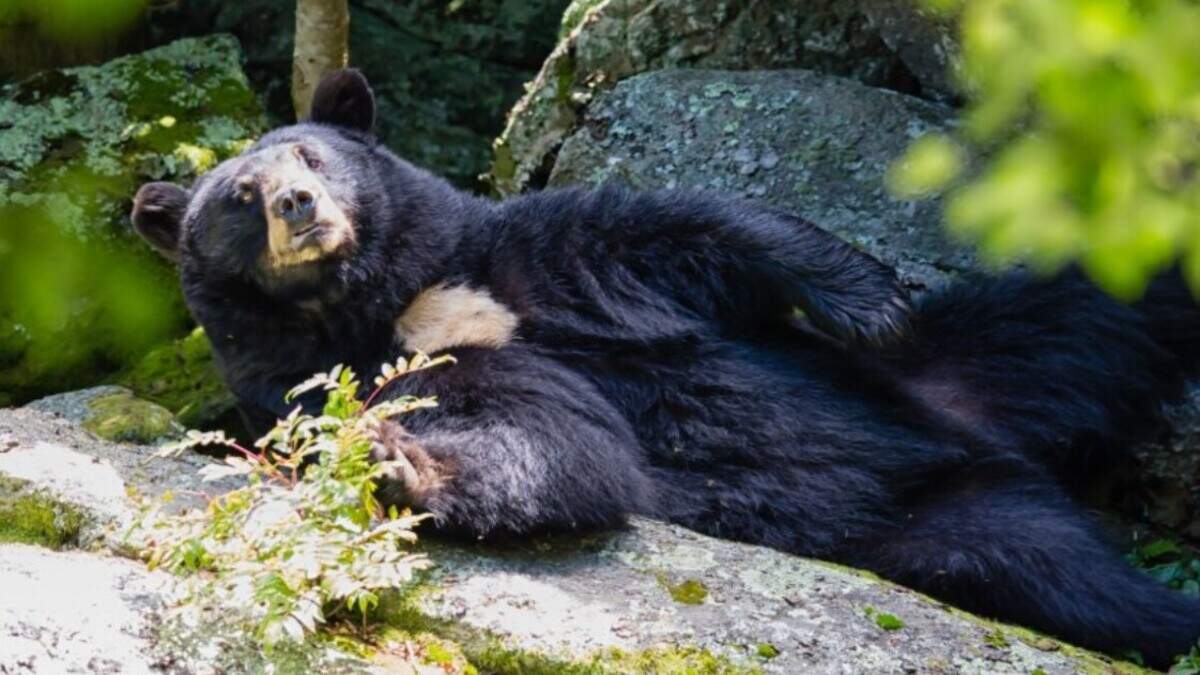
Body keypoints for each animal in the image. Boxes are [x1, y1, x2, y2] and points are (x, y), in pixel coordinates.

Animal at [132, 69, 1200, 667]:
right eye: (239, 198)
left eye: (309, 154)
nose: (300, 205)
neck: (398, 297)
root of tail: (980, 442)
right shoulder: (395, 369)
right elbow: (553, 439)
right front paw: (402, 461)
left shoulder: (530, 257)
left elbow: (693, 227)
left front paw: (867, 299)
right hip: (952, 530)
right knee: (1070, 576)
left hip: (983, 342)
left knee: (1110, 294)